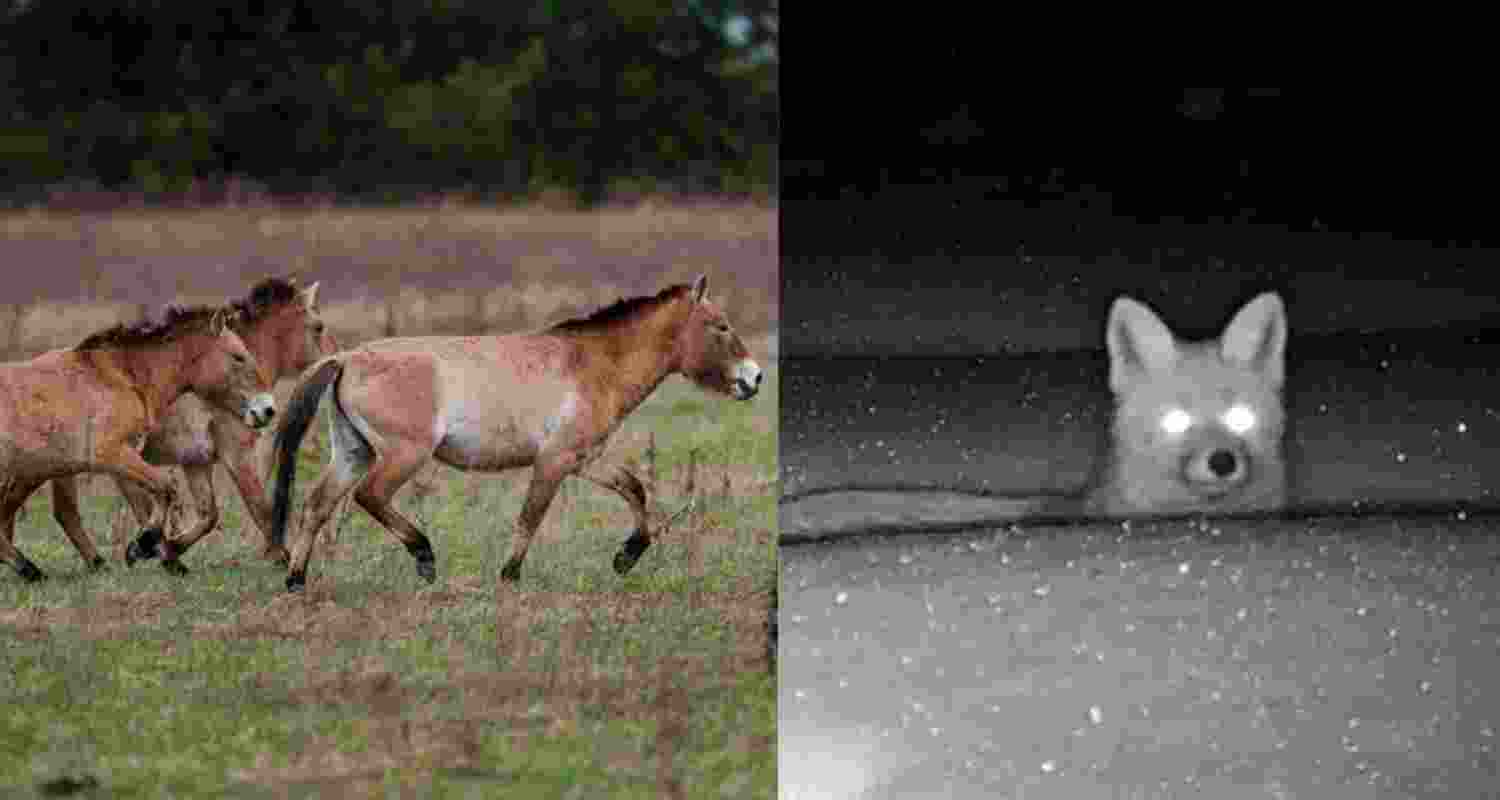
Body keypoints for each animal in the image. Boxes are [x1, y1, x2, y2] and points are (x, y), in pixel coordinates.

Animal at [0, 305, 275, 582]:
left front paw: (146, 548)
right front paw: (143, 546)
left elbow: (159, 496)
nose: (267, 410)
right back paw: (29, 568)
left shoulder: (136, 456)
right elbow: (165, 488)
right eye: (238, 357)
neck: (124, 377)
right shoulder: (111, 454)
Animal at [47, 277, 335, 575]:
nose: (335, 361)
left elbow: (209, 515)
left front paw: (171, 551)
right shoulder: (236, 455)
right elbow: (261, 510)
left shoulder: (196, 461)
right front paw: (282, 558)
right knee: (73, 511)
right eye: (318, 327)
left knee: (67, 512)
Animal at [269, 274, 762, 593]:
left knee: (316, 506)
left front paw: (627, 555)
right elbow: (530, 517)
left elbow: (634, 489)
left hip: (353, 452)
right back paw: (424, 557)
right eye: (720, 326)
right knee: (369, 497)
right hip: (402, 455)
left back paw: (296, 580)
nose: (754, 378)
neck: (594, 365)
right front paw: (509, 576)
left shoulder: (584, 458)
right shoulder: (554, 461)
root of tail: (347, 358)